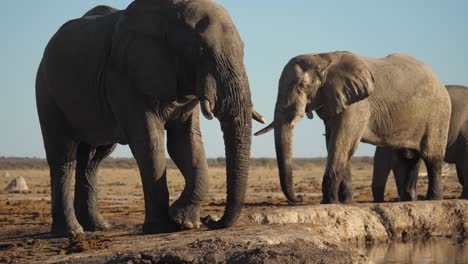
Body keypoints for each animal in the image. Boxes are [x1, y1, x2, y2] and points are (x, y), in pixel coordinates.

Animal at [36, 0, 264, 235]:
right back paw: (71, 232)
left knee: (93, 159)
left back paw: (97, 227)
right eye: (198, 51)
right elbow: (149, 141)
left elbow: (187, 142)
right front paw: (162, 226)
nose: (210, 219)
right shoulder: (122, 77)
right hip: (46, 91)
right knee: (63, 155)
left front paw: (184, 222)